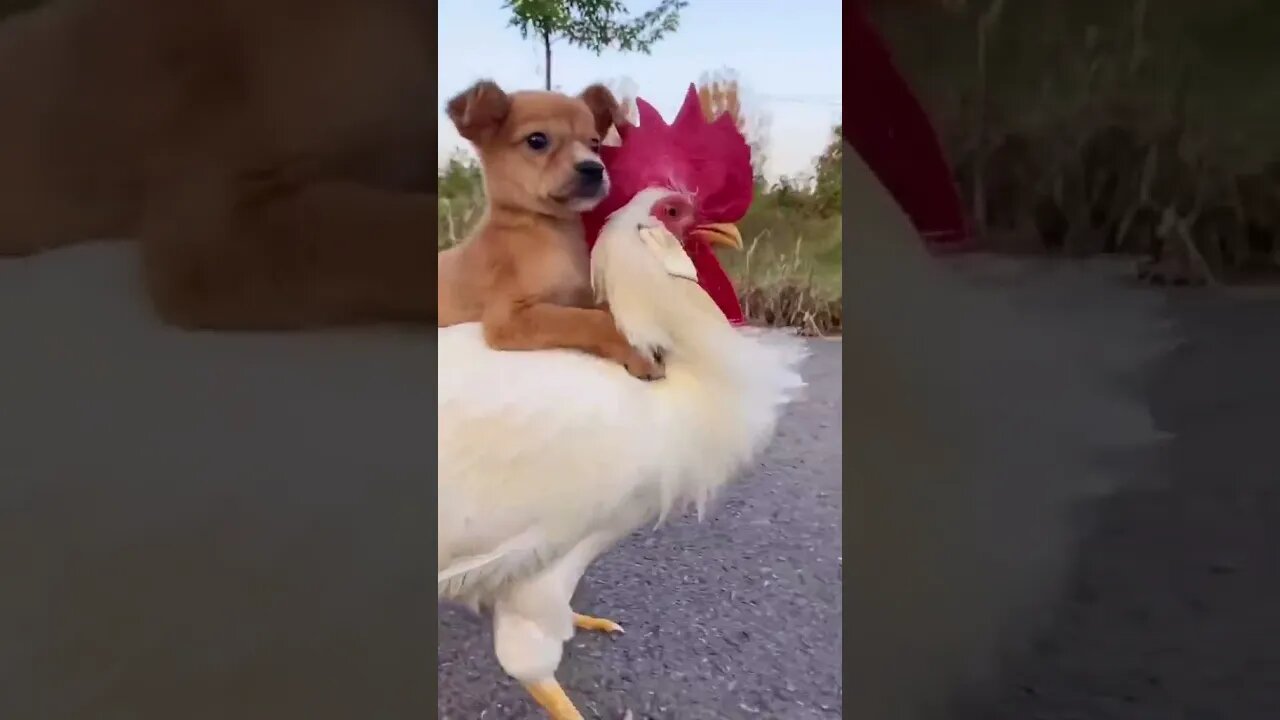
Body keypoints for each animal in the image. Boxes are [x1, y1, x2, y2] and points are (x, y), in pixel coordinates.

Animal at [437, 80, 660, 379]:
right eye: (537, 140)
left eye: (595, 144)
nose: (594, 168)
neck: (554, 231)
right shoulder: (508, 317)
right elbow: (588, 320)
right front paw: (636, 351)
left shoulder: (582, 296)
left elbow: (607, 309)